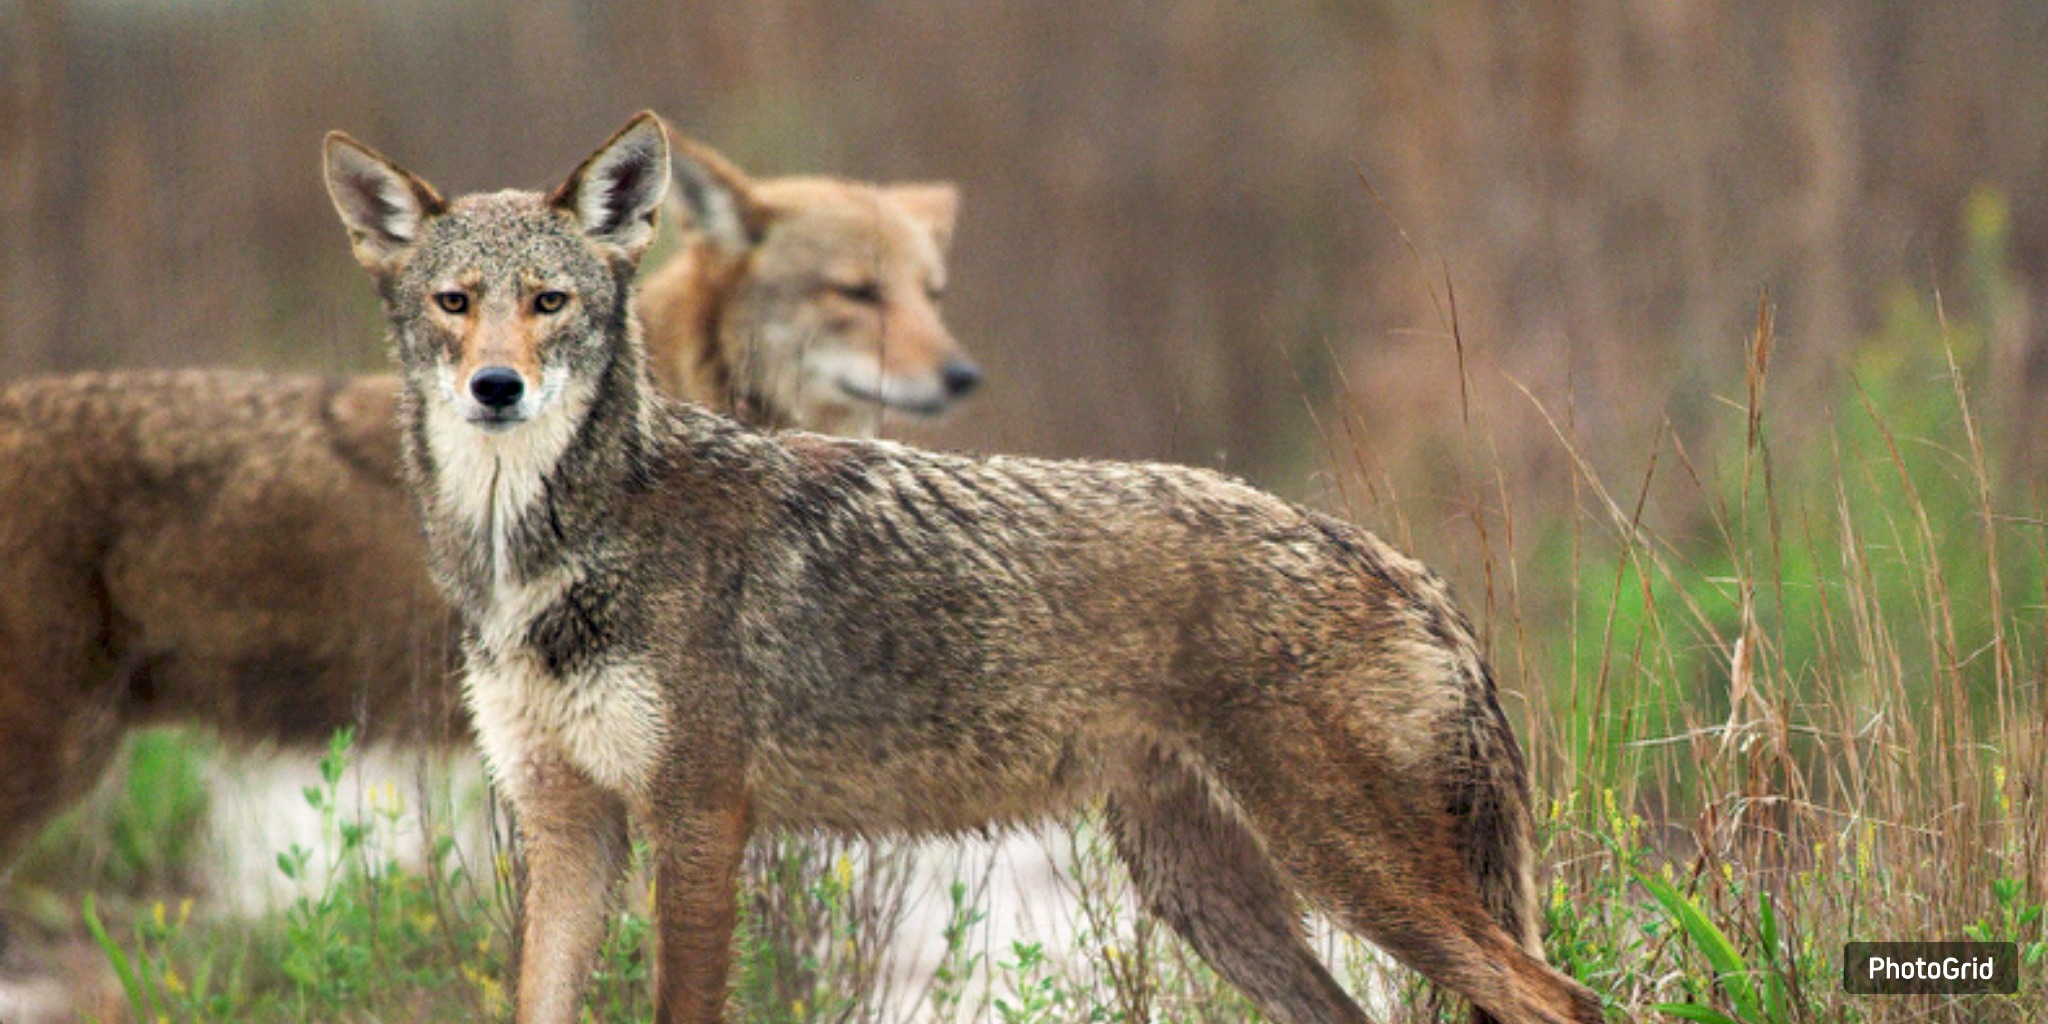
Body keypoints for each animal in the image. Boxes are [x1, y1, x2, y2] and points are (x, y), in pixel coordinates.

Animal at [325, 111, 1604, 1024]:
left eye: (550, 302)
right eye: (454, 303)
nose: (498, 388)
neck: (538, 552)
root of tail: (1410, 570)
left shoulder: (697, 817)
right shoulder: (568, 828)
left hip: (1343, 871)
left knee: (1563, 998)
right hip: (1211, 893)